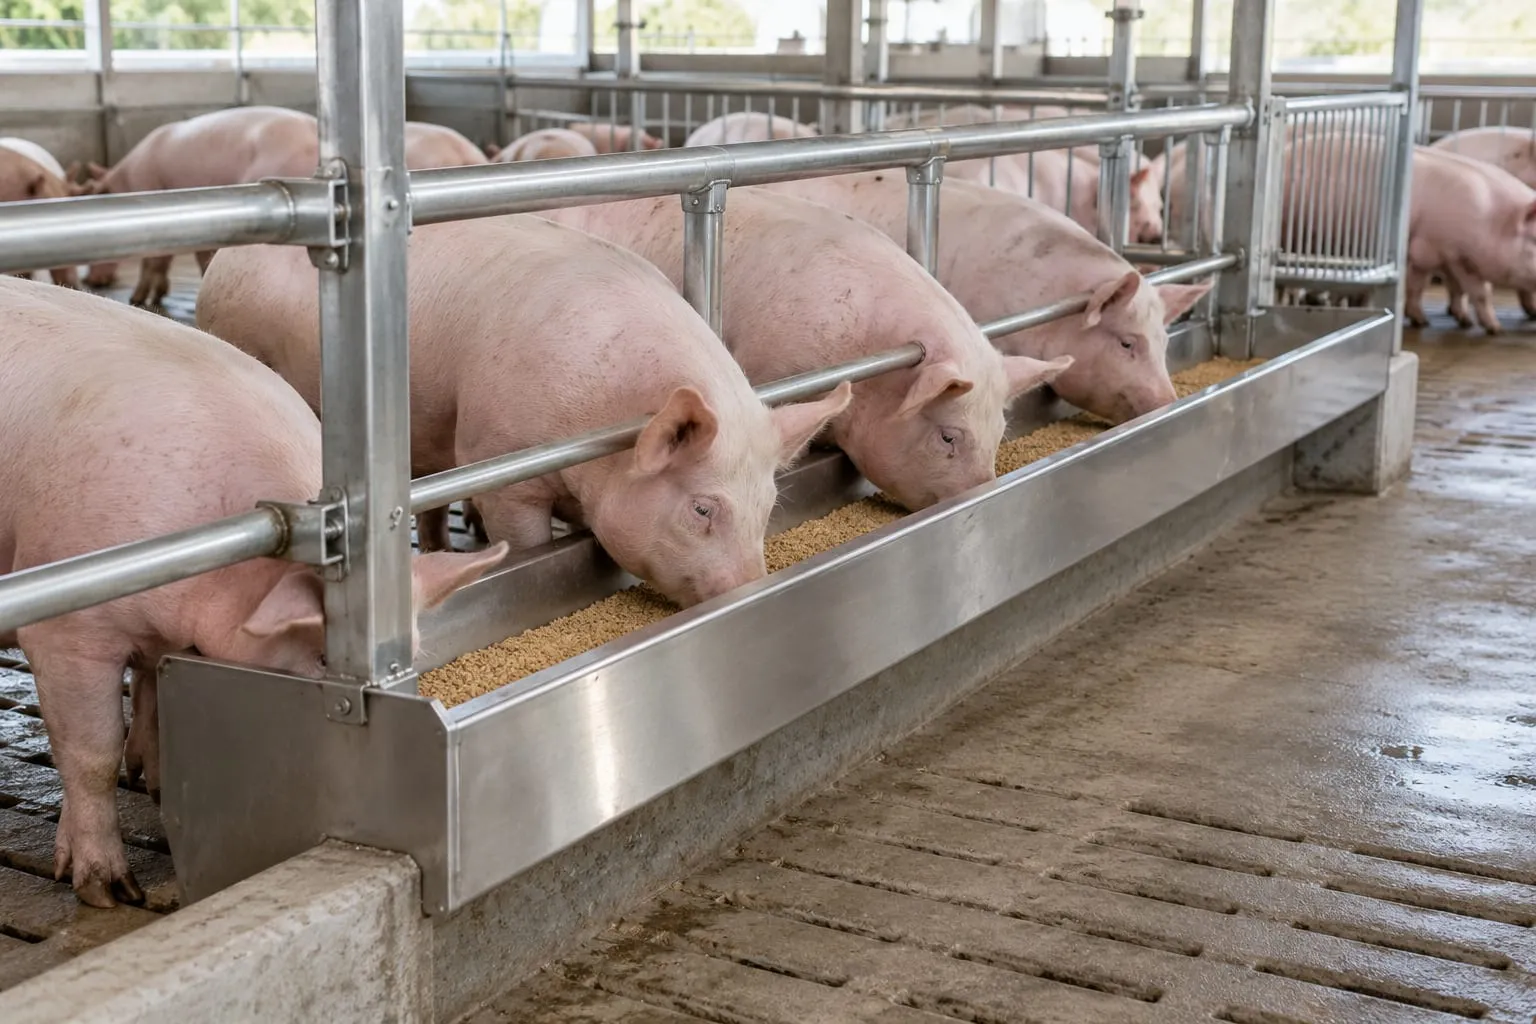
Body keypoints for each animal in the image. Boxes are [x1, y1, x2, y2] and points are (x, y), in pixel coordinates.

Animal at [0, 277, 504, 906]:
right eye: (323, 657)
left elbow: (153, 698)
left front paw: (156, 782)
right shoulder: (66, 629)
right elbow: (91, 751)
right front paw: (110, 891)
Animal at [76, 106, 320, 304]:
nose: (90, 281)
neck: (125, 184)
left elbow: (152, 260)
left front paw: (137, 299)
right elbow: (174, 259)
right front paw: (160, 295)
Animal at [197, 215, 851, 606]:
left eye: (769, 505)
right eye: (703, 508)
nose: (750, 588)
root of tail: (220, 263)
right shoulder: (499, 462)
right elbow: (527, 540)